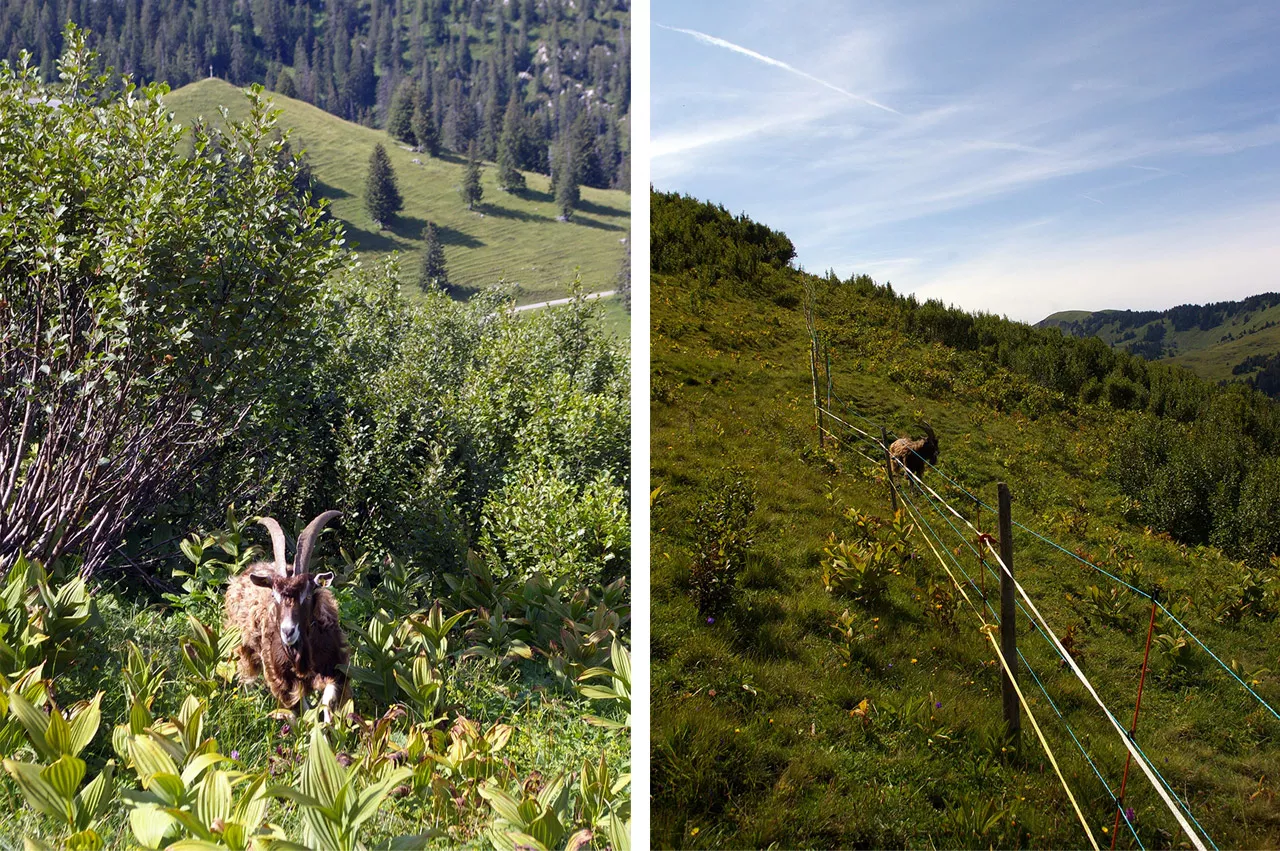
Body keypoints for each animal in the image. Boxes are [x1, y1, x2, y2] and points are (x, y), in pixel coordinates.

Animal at [222, 511, 348, 716]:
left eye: (308, 594)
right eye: (274, 595)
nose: (288, 632)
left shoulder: (336, 667)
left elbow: (327, 701)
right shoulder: (281, 679)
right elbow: (299, 711)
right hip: (242, 648)